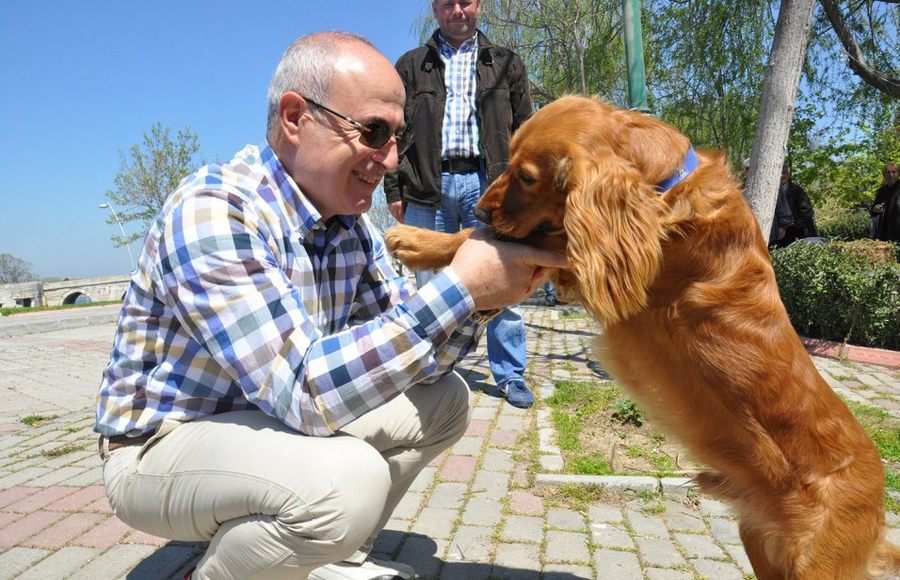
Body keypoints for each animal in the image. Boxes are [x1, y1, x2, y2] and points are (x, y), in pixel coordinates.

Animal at [386, 96, 900, 580]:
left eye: (527, 177)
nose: (478, 207)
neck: (666, 184)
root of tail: (878, 507)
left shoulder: (596, 257)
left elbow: (495, 242)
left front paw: (419, 240)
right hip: (763, 546)